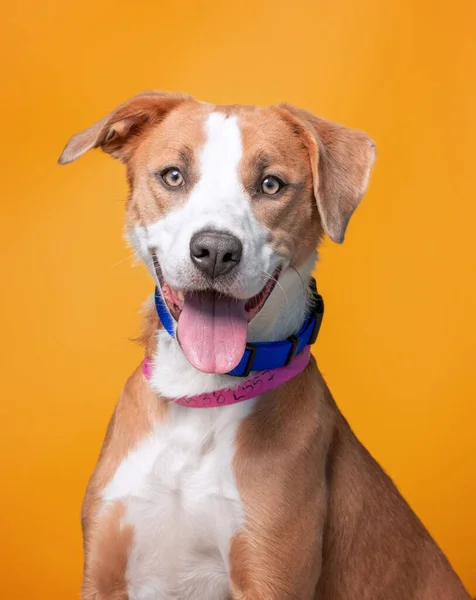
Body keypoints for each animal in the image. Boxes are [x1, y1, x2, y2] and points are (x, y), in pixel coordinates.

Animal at [57, 90, 470, 600]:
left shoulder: (270, 575)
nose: (215, 251)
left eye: (271, 185)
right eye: (173, 175)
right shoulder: (102, 570)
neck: (201, 395)